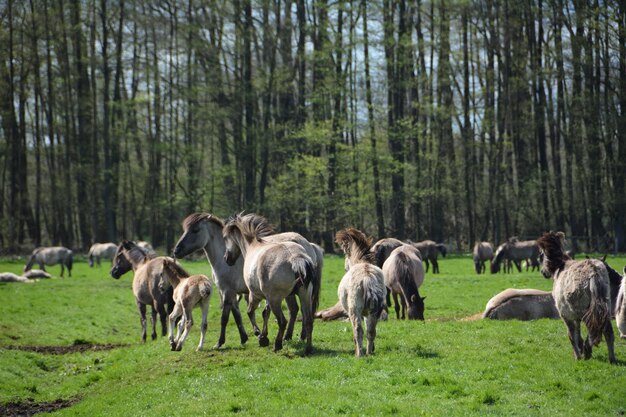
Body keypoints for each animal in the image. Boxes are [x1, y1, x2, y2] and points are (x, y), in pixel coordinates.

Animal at [222, 211, 316, 352]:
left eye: (225, 237)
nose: (227, 259)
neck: (253, 245)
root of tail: (295, 258)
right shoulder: (266, 297)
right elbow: (265, 313)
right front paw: (263, 336)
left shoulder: (254, 295)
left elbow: (251, 312)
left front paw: (259, 335)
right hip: (303, 295)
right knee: (308, 320)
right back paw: (307, 348)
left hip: (275, 300)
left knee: (282, 321)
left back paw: (278, 345)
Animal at [336, 226, 386, 356]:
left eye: (345, 253)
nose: (345, 267)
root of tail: (366, 277)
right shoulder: (367, 313)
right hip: (374, 311)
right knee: (371, 331)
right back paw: (369, 353)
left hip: (354, 310)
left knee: (358, 330)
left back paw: (359, 354)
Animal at [532, 232, 616, 362]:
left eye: (541, 255)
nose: (543, 272)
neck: (560, 267)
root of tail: (593, 271)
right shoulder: (575, 317)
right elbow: (578, 334)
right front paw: (581, 349)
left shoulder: (566, 315)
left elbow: (572, 336)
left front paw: (577, 355)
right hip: (604, 307)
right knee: (608, 331)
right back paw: (611, 358)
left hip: (585, 311)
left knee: (593, 328)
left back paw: (587, 350)